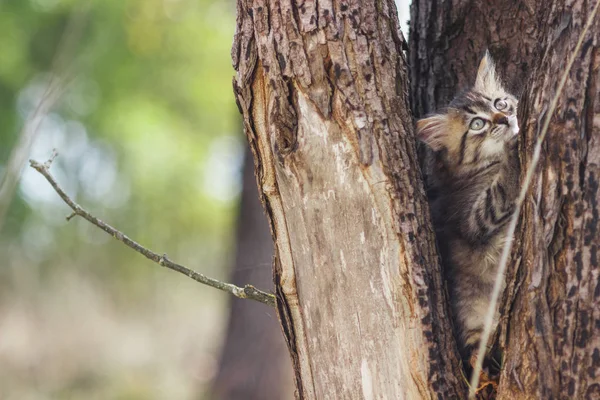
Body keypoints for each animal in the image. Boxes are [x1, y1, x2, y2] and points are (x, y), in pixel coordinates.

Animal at [418, 51, 520, 360]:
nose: (505, 118)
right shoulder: (470, 220)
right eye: (477, 124)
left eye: (499, 103)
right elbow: (501, 190)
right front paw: (513, 147)